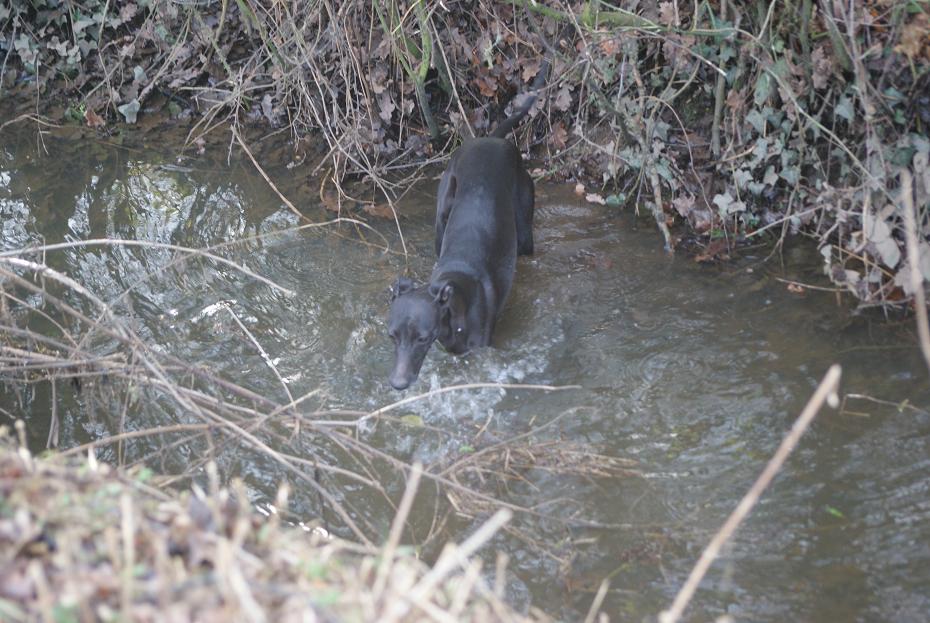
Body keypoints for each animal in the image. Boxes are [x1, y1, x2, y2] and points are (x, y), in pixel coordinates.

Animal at [387, 60, 549, 391]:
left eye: (422, 338)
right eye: (392, 336)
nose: (398, 384)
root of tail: (492, 138)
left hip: (524, 230)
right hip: (442, 215)